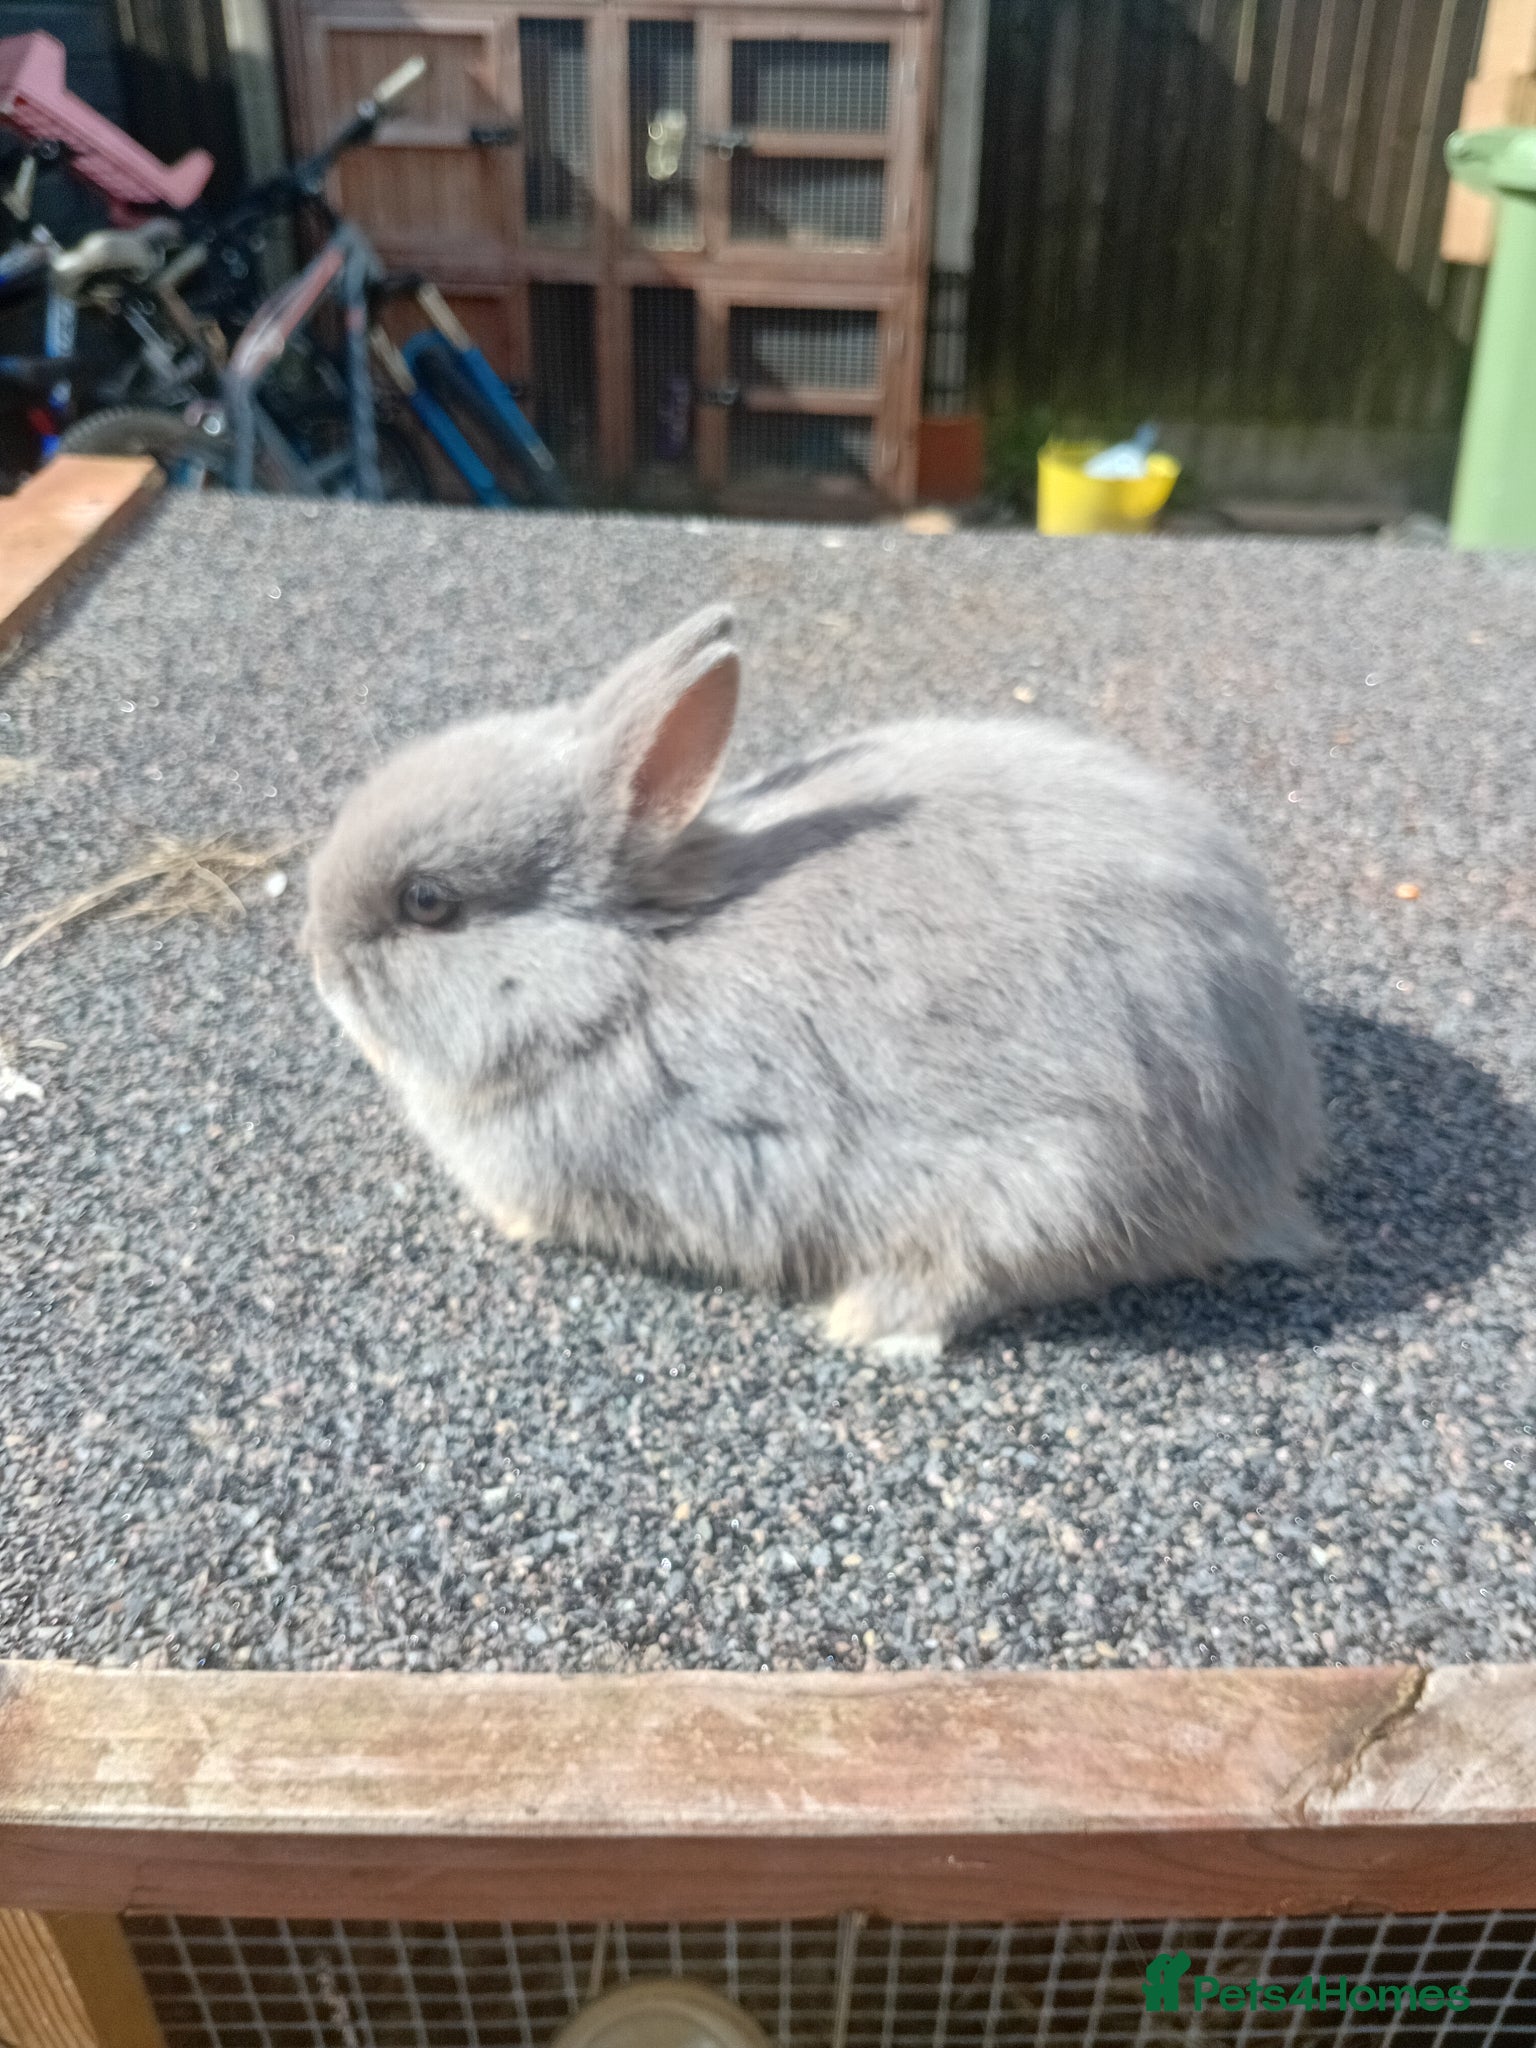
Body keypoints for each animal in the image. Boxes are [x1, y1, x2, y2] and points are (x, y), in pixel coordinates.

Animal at [302, 603, 1324, 1357]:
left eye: (428, 902)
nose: (314, 959)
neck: (621, 973)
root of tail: (1260, 1152)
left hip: (1052, 1184)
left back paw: (861, 1322)